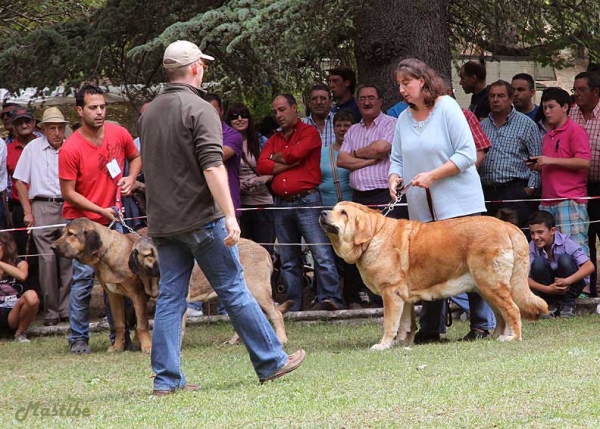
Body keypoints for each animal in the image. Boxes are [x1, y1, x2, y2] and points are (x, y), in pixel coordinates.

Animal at [51, 217, 155, 352]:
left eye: (70, 234)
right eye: (63, 233)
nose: (52, 247)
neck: (105, 255)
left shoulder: (137, 294)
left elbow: (142, 324)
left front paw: (148, 346)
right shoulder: (114, 296)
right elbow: (119, 324)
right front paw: (117, 346)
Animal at [318, 199, 548, 350]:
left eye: (344, 213)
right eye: (333, 209)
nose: (322, 213)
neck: (373, 236)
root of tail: (508, 226)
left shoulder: (390, 293)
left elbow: (389, 323)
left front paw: (383, 345)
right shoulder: (403, 297)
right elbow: (405, 324)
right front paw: (402, 342)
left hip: (491, 284)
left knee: (513, 311)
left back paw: (512, 338)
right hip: (485, 288)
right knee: (502, 314)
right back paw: (497, 336)